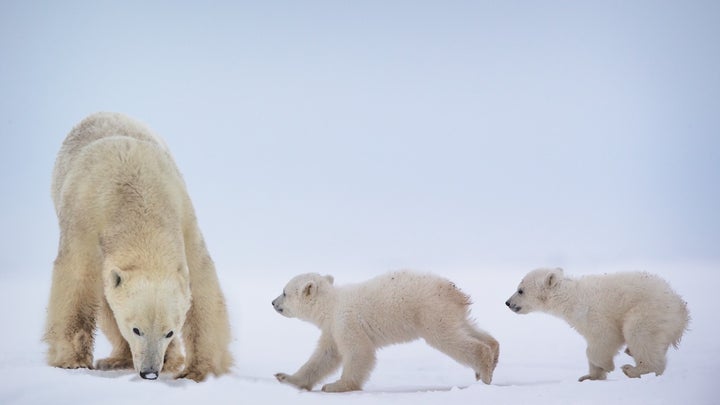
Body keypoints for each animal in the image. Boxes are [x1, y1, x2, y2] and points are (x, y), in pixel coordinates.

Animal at [45, 112, 231, 380]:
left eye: (169, 332)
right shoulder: (84, 219)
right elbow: (77, 280)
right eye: (136, 329)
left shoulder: (183, 214)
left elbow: (201, 284)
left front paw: (197, 370)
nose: (150, 372)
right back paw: (115, 360)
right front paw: (73, 361)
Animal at [272, 270, 500, 390]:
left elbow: (358, 352)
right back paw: (492, 354)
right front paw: (285, 378)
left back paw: (484, 371)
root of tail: (454, 292)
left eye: (284, 292)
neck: (331, 305)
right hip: (449, 312)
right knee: (468, 328)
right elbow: (324, 357)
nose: (273, 302)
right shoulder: (332, 329)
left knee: (447, 338)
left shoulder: (346, 321)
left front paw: (336, 386)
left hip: (430, 312)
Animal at [504, 266, 688, 380]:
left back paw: (633, 369)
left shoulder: (593, 314)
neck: (570, 297)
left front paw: (607, 365)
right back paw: (630, 353)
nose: (507, 302)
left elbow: (604, 338)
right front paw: (589, 376)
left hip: (649, 311)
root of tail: (681, 310)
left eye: (520, 290)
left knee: (639, 333)